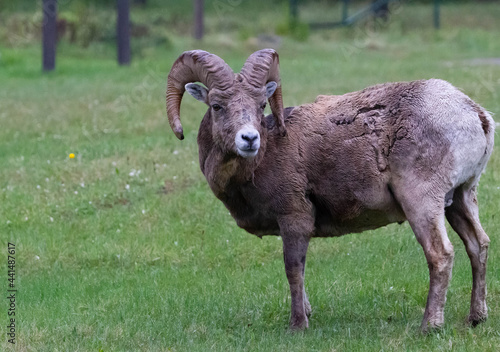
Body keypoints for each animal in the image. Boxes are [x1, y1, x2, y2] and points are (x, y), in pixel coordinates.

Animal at [166, 48, 494, 332]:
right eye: (217, 106)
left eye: (260, 105)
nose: (249, 139)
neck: (264, 158)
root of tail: (476, 115)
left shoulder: (295, 219)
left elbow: (293, 269)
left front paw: (298, 325)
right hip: (461, 199)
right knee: (478, 245)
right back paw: (475, 318)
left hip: (422, 202)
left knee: (440, 255)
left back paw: (429, 327)